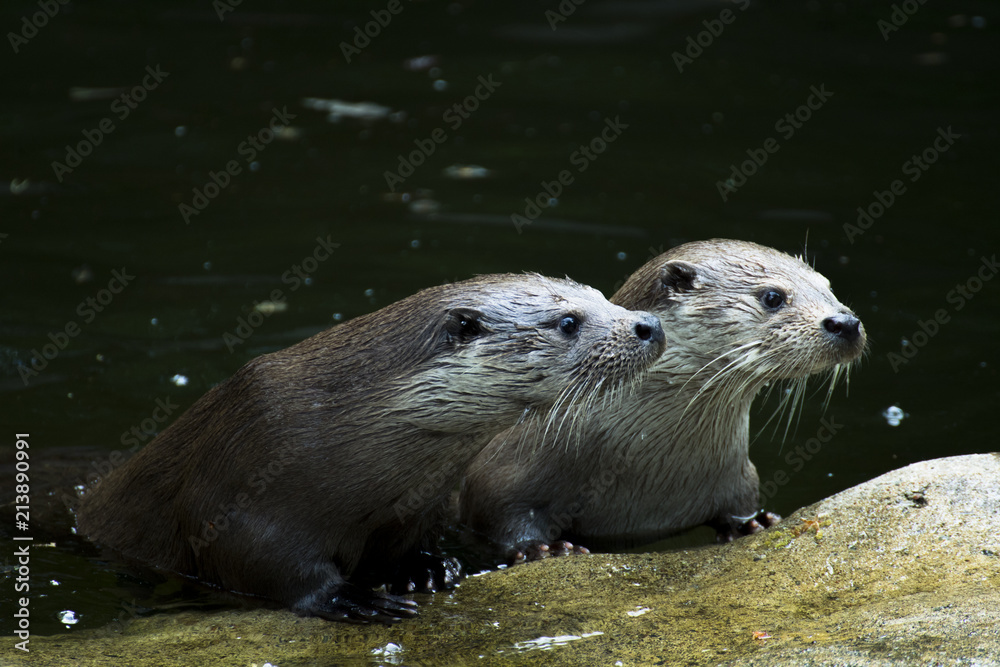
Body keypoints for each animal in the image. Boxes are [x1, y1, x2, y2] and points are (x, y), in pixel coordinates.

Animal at [76, 273, 665, 623]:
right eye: (568, 322)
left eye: (604, 297)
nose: (650, 324)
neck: (336, 424)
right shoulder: (241, 486)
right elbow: (260, 565)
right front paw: (352, 597)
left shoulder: (419, 502)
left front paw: (426, 570)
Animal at [460, 240, 866, 563]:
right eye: (772, 297)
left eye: (828, 286)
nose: (845, 322)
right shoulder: (501, 476)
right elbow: (504, 517)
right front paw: (542, 549)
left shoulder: (738, 476)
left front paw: (754, 523)